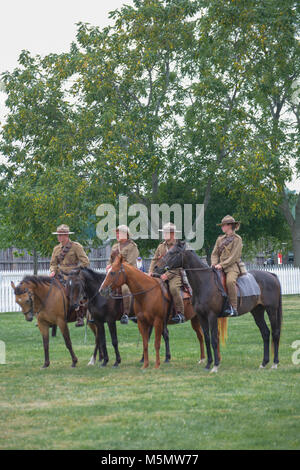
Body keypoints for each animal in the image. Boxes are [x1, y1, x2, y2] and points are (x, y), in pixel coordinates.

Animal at [154, 241, 282, 372]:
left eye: (173, 252)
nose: (156, 268)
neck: (204, 282)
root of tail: (271, 275)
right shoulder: (201, 317)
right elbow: (207, 338)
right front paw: (208, 364)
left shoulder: (212, 316)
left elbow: (214, 339)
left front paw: (215, 366)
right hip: (257, 311)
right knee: (265, 333)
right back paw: (264, 362)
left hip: (271, 310)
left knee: (275, 333)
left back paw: (275, 363)